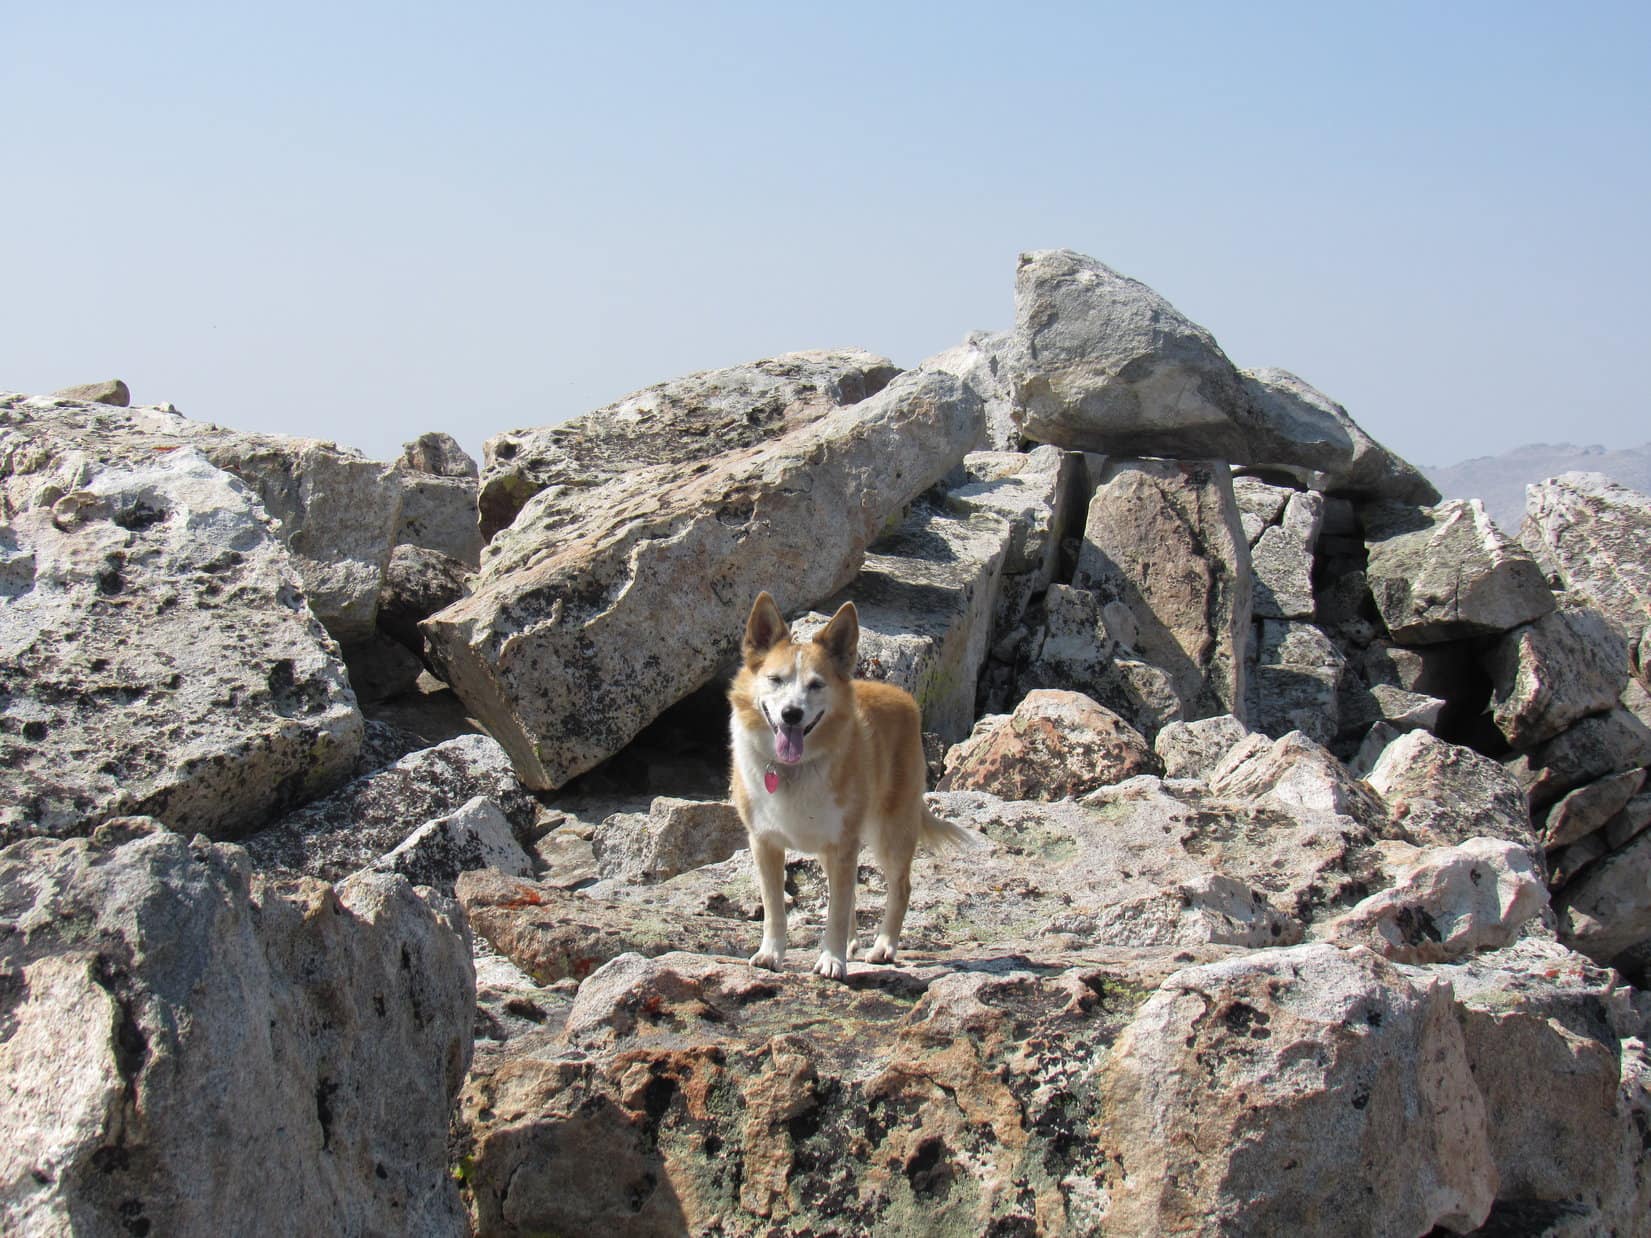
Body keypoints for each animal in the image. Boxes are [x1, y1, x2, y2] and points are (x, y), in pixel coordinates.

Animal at [728, 591, 975, 979]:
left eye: (816, 685)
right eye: (775, 679)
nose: (791, 714)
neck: (793, 769)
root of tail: (903, 698)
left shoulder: (843, 845)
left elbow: (837, 910)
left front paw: (832, 959)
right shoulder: (765, 844)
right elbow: (775, 908)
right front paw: (771, 954)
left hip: (890, 834)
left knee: (899, 888)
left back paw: (884, 947)